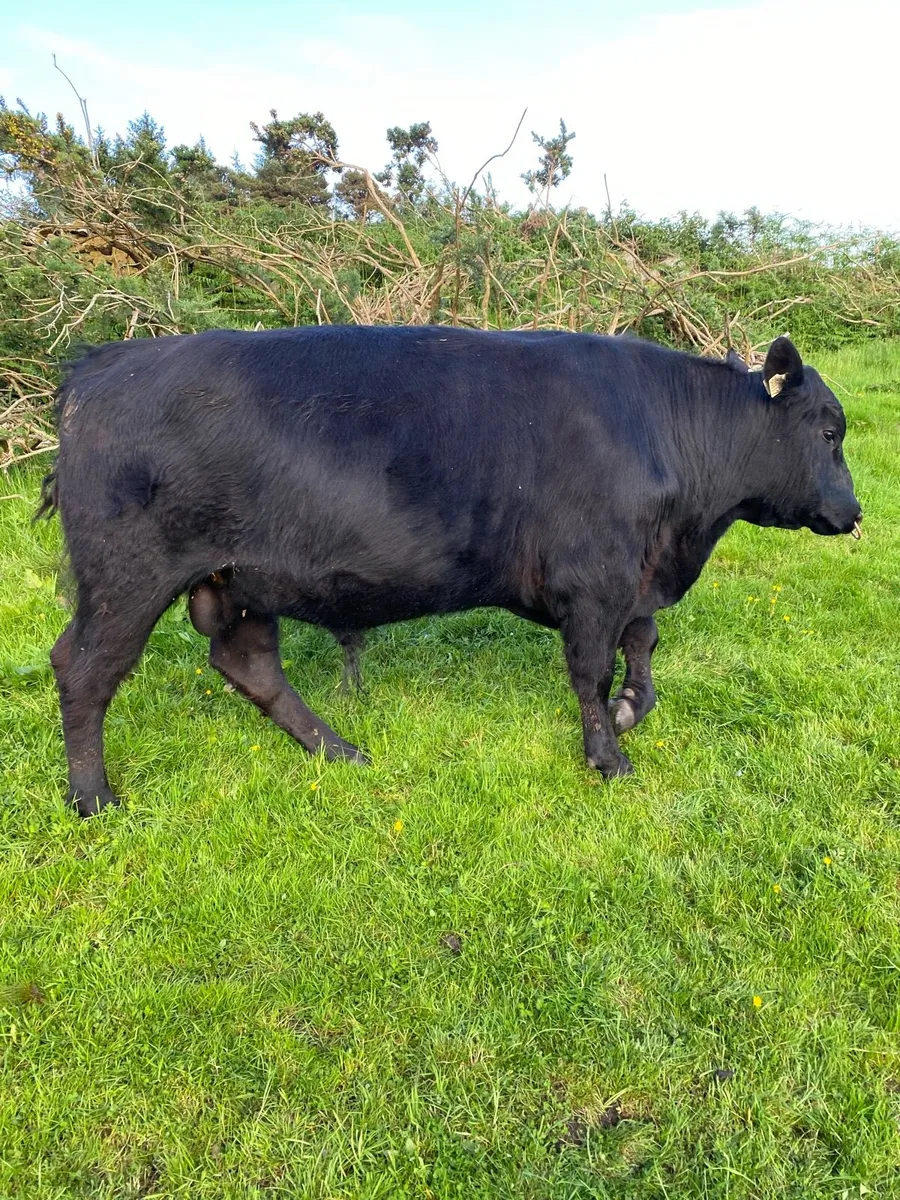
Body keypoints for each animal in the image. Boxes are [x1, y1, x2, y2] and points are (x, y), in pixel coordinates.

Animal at [37, 326, 862, 817]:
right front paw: (608, 757)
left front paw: (632, 711)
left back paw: (339, 750)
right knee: (84, 670)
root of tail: (104, 364)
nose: (854, 512)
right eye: (828, 431)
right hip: (128, 575)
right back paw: (93, 796)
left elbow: (644, 648)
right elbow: (593, 672)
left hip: (239, 580)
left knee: (251, 667)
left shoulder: (636, 574)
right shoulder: (594, 580)